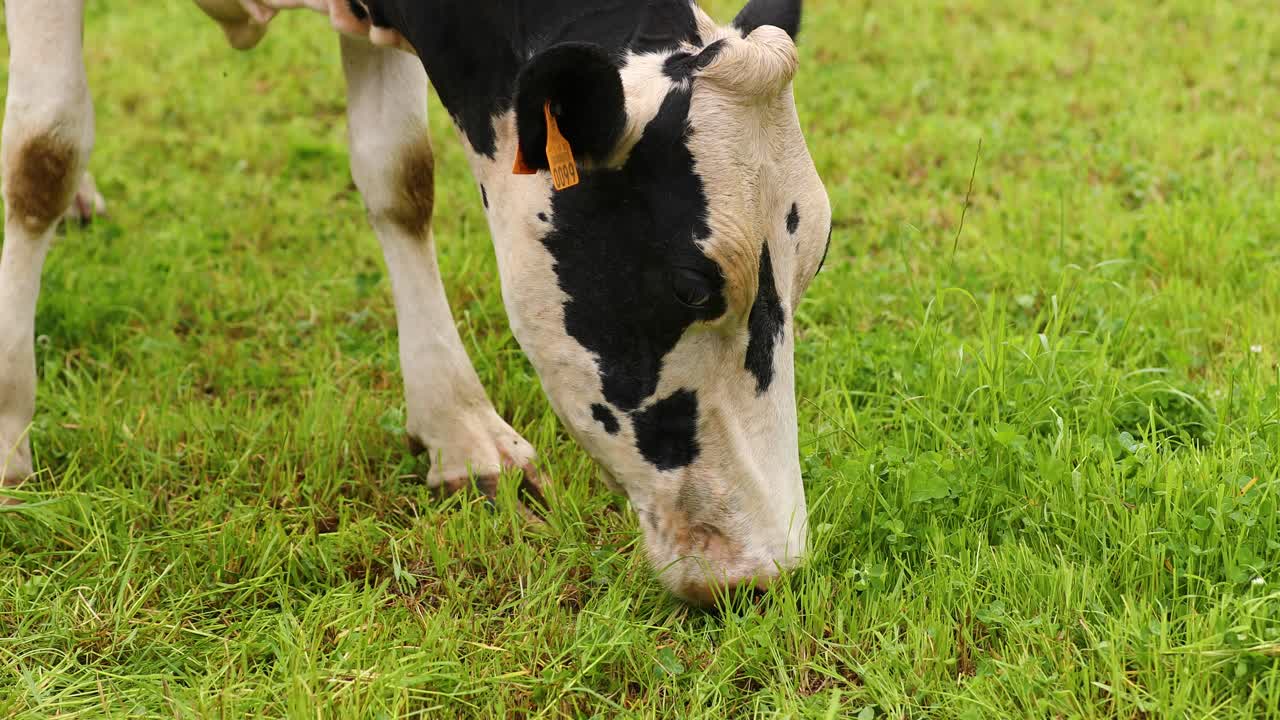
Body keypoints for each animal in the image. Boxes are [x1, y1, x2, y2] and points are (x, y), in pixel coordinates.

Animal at [0, 0, 832, 606]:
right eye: (693, 285)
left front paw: (459, 431)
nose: (770, 568)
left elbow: (400, 173)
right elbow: (43, 154)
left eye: (814, 262)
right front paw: (7, 433)